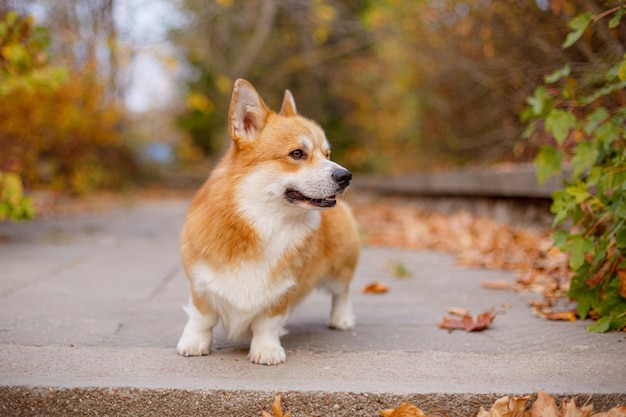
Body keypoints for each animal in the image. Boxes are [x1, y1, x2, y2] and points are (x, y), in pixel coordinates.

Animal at [178, 79, 358, 364]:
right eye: (297, 153)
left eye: (327, 153)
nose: (346, 176)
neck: (264, 223)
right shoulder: (200, 284)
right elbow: (202, 318)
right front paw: (194, 343)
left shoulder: (282, 292)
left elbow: (267, 323)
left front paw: (266, 350)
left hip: (342, 265)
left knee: (342, 293)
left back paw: (341, 319)